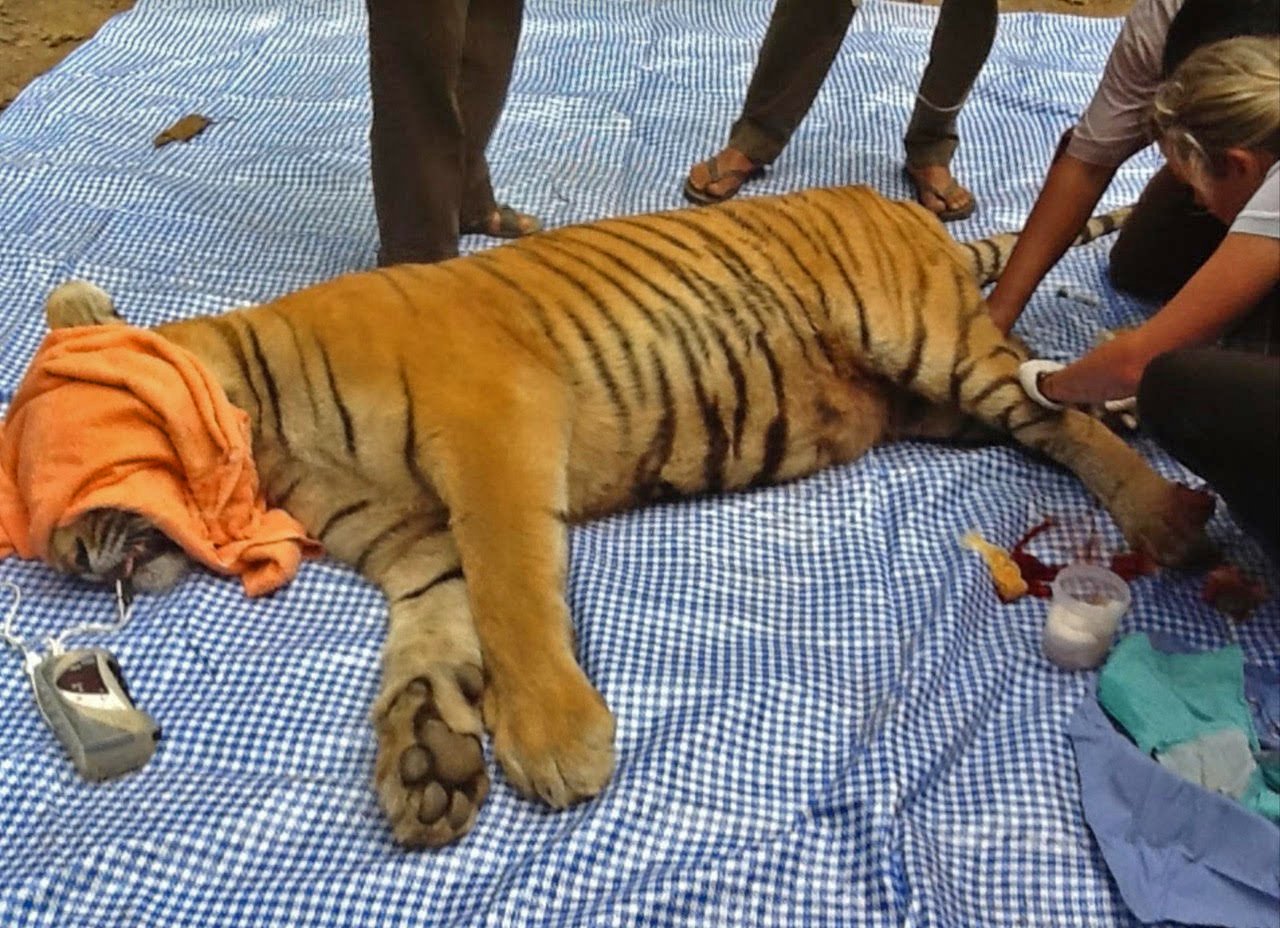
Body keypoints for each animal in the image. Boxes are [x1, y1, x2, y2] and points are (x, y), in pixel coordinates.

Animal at [30, 186, 1208, 844]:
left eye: (51, 451)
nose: (64, 555)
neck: (272, 452)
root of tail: (904, 211)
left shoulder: (493, 421)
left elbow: (511, 590)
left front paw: (554, 744)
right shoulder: (413, 550)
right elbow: (430, 644)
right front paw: (427, 766)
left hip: (925, 339)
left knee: (1056, 416)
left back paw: (1167, 515)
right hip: (929, 402)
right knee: (1048, 397)